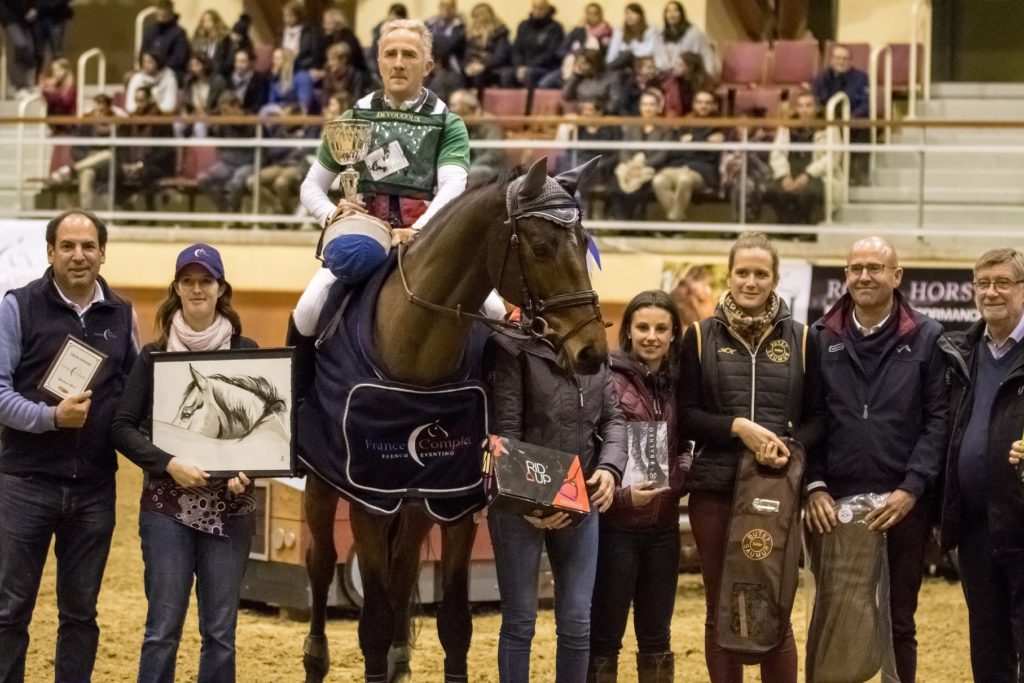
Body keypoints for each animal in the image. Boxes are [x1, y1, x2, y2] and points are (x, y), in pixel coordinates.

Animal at [301, 156, 606, 683]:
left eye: (584, 241)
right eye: (542, 248)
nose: (592, 351)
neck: (418, 347)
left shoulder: (455, 501)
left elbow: (455, 622)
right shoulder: (367, 501)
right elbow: (372, 621)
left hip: (416, 501)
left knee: (404, 569)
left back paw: (400, 658)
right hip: (324, 484)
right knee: (321, 562)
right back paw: (316, 657)